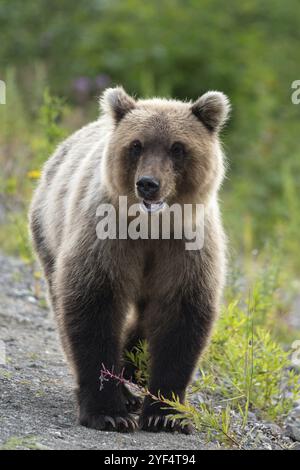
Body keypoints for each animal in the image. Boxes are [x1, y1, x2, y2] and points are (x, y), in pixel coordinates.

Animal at [29, 87, 230, 434]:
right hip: (49, 231)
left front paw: (165, 414)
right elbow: (94, 307)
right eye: (136, 145)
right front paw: (108, 412)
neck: (151, 227)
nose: (148, 183)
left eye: (178, 148)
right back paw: (125, 393)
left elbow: (180, 315)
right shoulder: (107, 237)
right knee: (63, 311)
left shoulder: (184, 247)